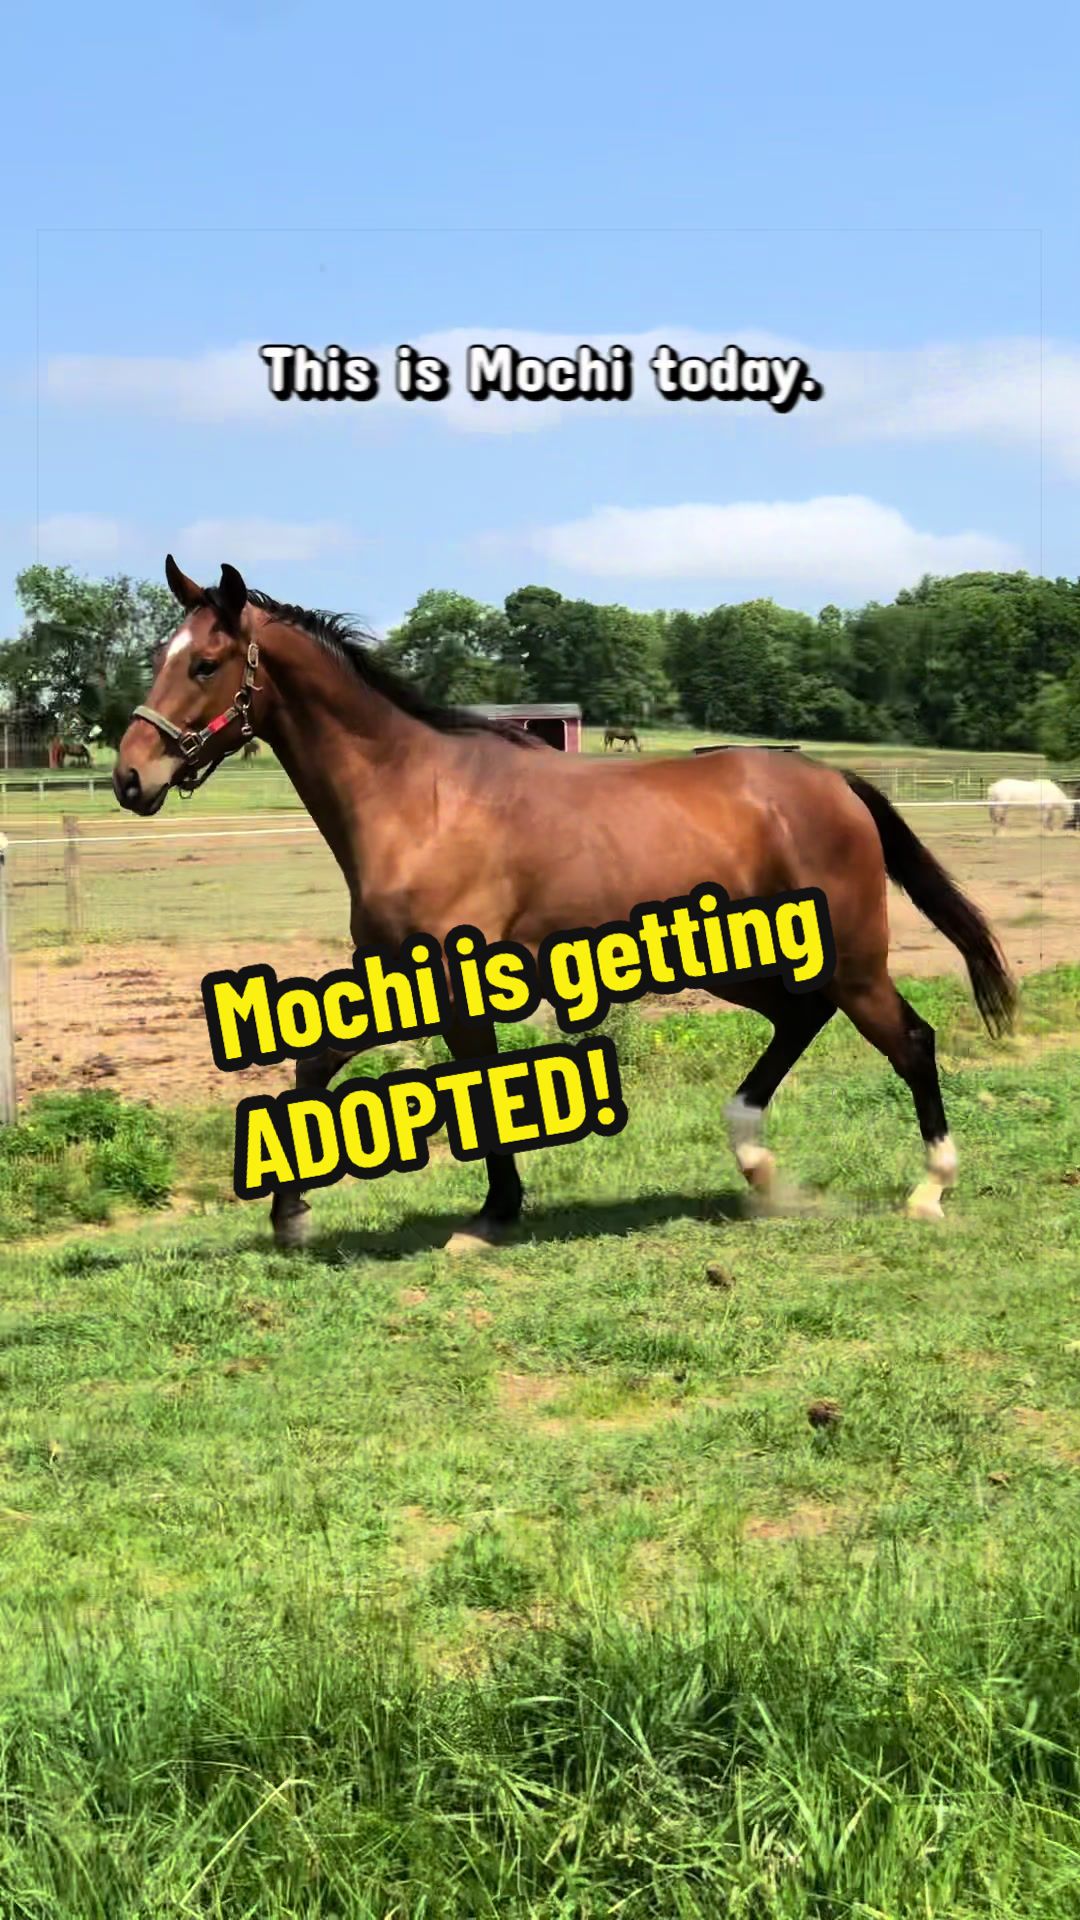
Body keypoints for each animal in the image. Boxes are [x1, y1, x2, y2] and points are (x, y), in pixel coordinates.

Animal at [113, 559, 1016, 1251]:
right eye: (160, 653)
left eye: (204, 665)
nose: (130, 776)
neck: (419, 800)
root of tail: (836, 783)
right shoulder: (397, 975)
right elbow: (317, 1064)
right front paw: (292, 1214)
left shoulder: (456, 980)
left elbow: (474, 1090)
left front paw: (490, 1217)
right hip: (744, 964)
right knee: (800, 1019)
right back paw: (755, 1164)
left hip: (852, 959)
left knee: (910, 1040)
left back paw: (929, 1188)